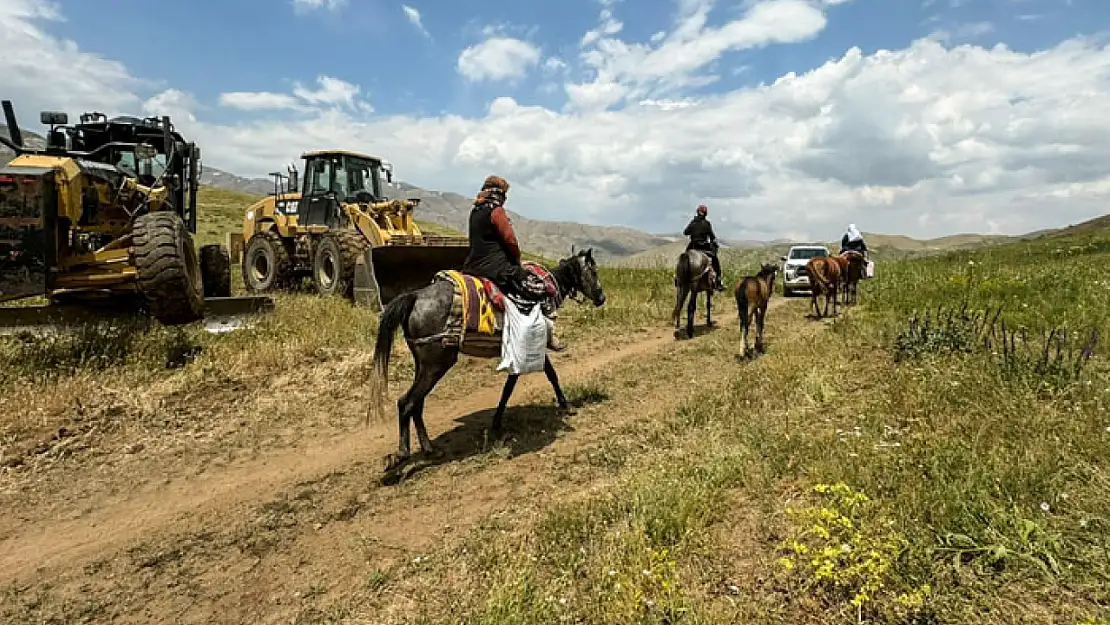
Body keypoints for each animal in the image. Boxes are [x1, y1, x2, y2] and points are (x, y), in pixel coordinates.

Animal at [366, 249, 608, 475]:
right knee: (407, 402)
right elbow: (549, 375)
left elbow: (511, 386)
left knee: (416, 403)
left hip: (424, 364)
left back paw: (430, 449)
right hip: (437, 363)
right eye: (594, 271)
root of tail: (415, 296)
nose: (601, 298)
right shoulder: (530, 346)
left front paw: (497, 421)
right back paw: (401, 455)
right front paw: (566, 406)